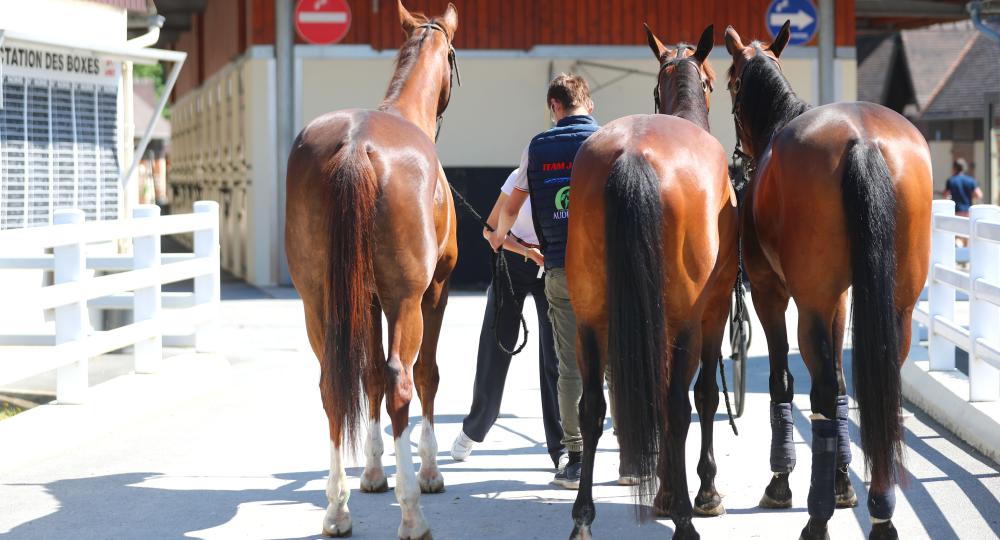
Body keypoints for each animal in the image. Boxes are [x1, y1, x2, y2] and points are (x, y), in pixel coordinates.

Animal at [284, 2, 458, 536]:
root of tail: (356, 146)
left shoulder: (369, 298)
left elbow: (369, 377)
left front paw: (374, 472)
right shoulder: (434, 291)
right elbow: (424, 375)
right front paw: (427, 472)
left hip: (318, 302)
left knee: (332, 384)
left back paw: (337, 508)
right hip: (407, 300)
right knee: (403, 378)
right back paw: (412, 512)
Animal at [568, 26, 740, 540]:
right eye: (711, 80)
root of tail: (632, 154)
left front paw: (665, 490)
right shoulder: (712, 311)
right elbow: (702, 398)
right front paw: (700, 493)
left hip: (590, 318)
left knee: (592, 407)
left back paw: (583, 519)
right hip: (684, 321)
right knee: (681, 405)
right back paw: (685, 517)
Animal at [724, 22, 932, 540]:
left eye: (732, 82)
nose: (739, 160)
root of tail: (863, 141)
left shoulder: (771, 293)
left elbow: (785, 380)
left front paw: (783, 481)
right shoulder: (838, 299)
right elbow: (839, 384)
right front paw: (842, 484)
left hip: (808, 302)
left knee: (815, 390)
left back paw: (816, 517)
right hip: (896, 306)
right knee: (876, 392)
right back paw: (880, 510)